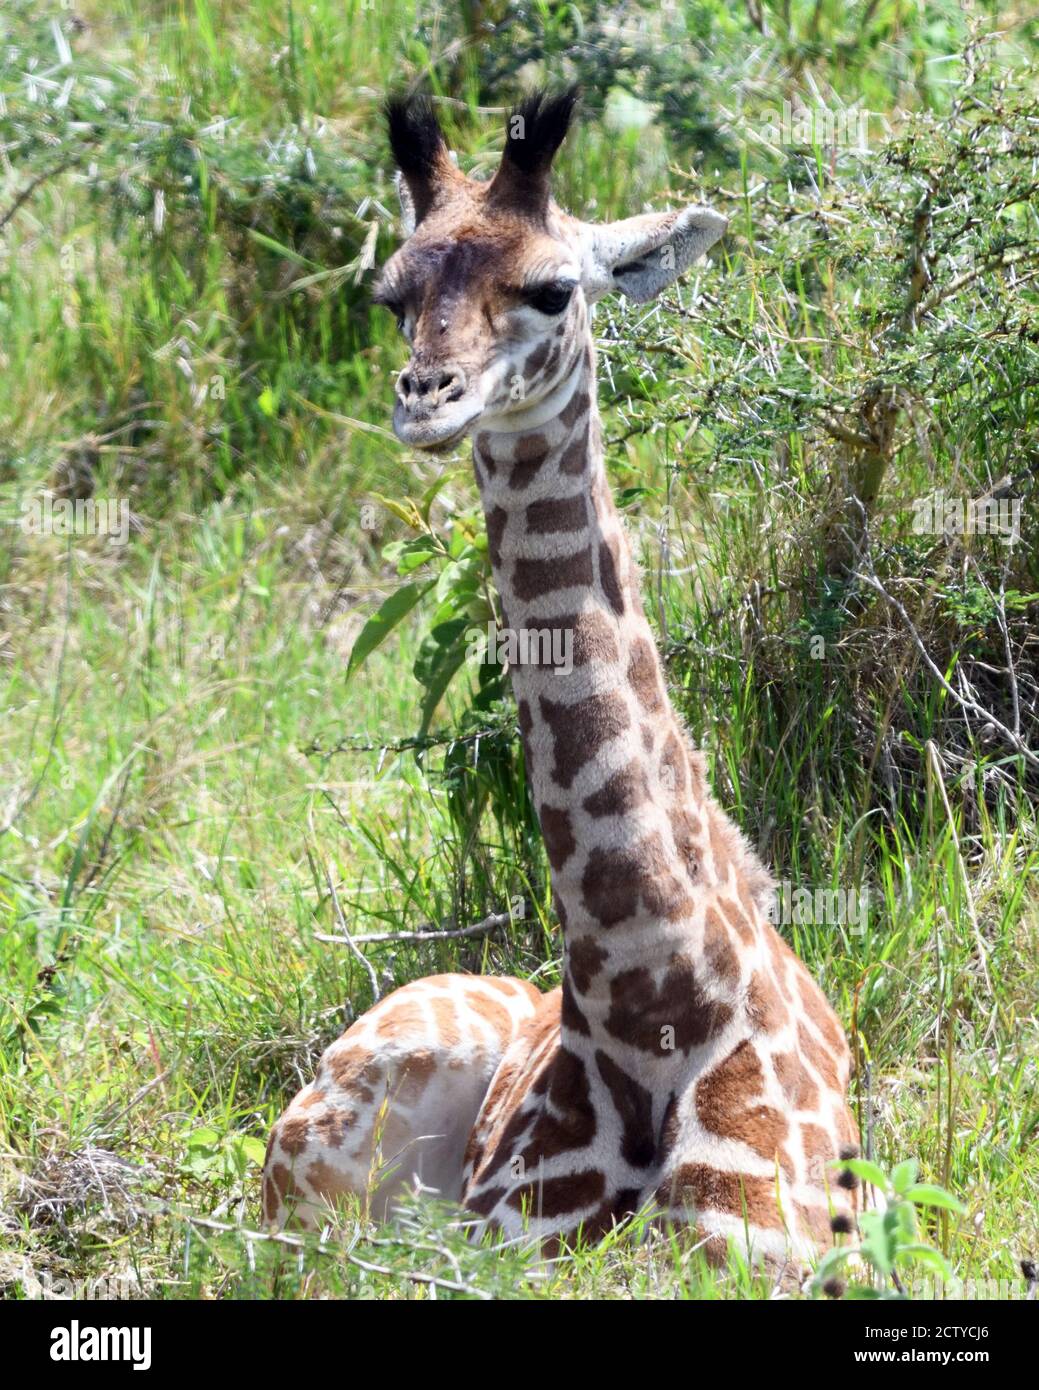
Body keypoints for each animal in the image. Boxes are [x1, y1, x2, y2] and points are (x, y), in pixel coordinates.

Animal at [261, 89, 862, 1273]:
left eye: (551, 289)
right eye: (393, 295)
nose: (425, 399)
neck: (650, 990)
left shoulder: (751, 1247)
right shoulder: (495, 1243)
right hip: (321, 1155)